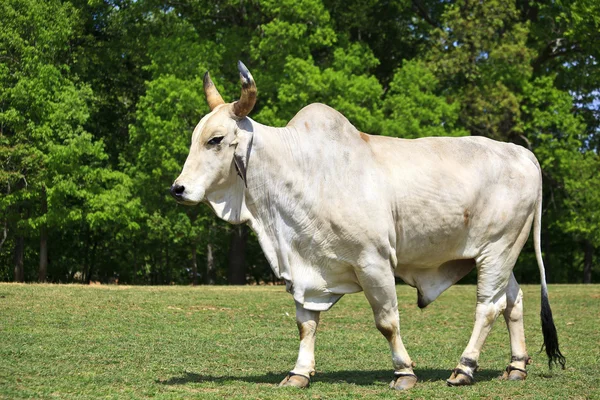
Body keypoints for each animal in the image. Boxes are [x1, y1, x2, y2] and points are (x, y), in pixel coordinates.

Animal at [171, 61, 564, 390]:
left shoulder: (373, 261)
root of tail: (522, 152)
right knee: (512, 301)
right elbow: (306, 323)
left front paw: (404, 373)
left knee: (488, 306)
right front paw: (299, 373)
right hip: (497, 253)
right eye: (193, 137)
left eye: (216, 139)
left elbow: (387, 321)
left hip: (498, 250)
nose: (178, 189)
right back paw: (516, 367)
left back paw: (464, 369)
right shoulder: (305, 267)